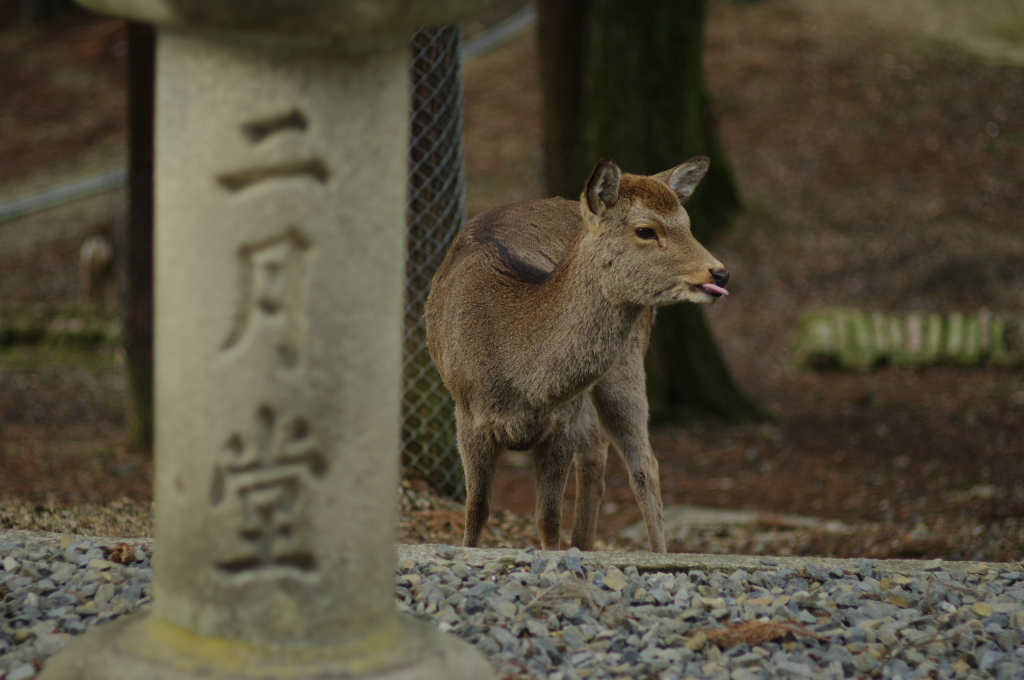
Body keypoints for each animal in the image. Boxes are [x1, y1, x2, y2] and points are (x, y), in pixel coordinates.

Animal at [423, 155, 729, 553]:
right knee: (597, 451)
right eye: (646, 230)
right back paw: (583, 543)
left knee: (644, 464)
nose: (719, 273)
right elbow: (477, 509)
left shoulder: (562, 422)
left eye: (688, 225)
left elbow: (548, 518)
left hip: (626, 365)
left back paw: (657, 553)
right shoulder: (467, 411)